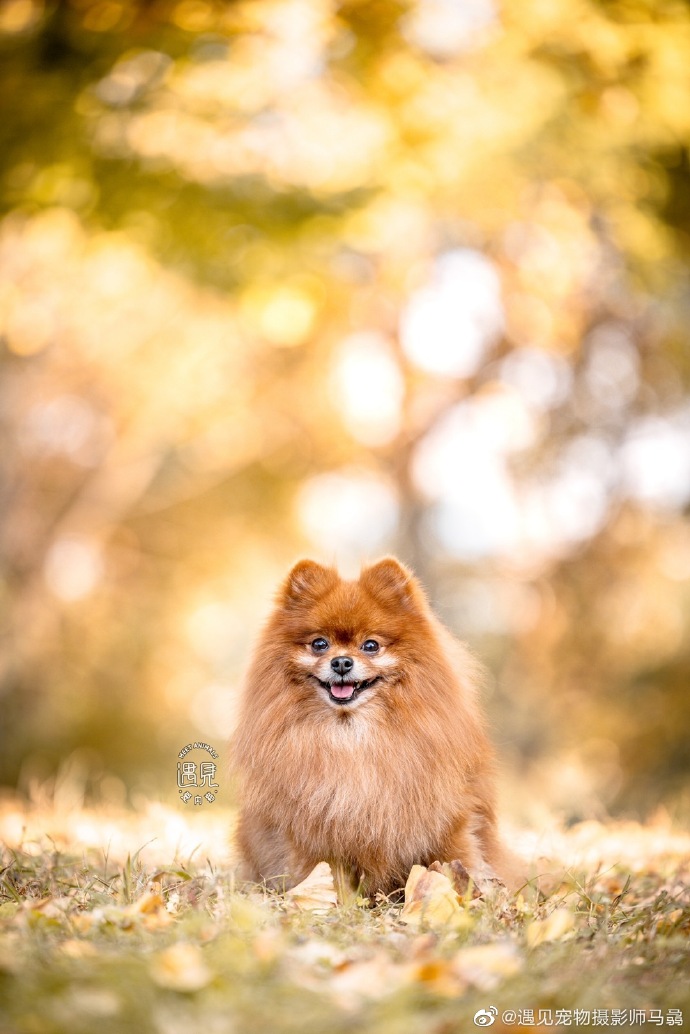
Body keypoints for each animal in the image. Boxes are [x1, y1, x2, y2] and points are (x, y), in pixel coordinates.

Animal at [230, 558, 513, 897]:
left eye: (371, 645)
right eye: (319, 644)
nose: (341, 662)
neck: (352, 735)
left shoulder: (448, 815)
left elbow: (457, 856)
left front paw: (466, 891)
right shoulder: (308, 828)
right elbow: (318, 871)